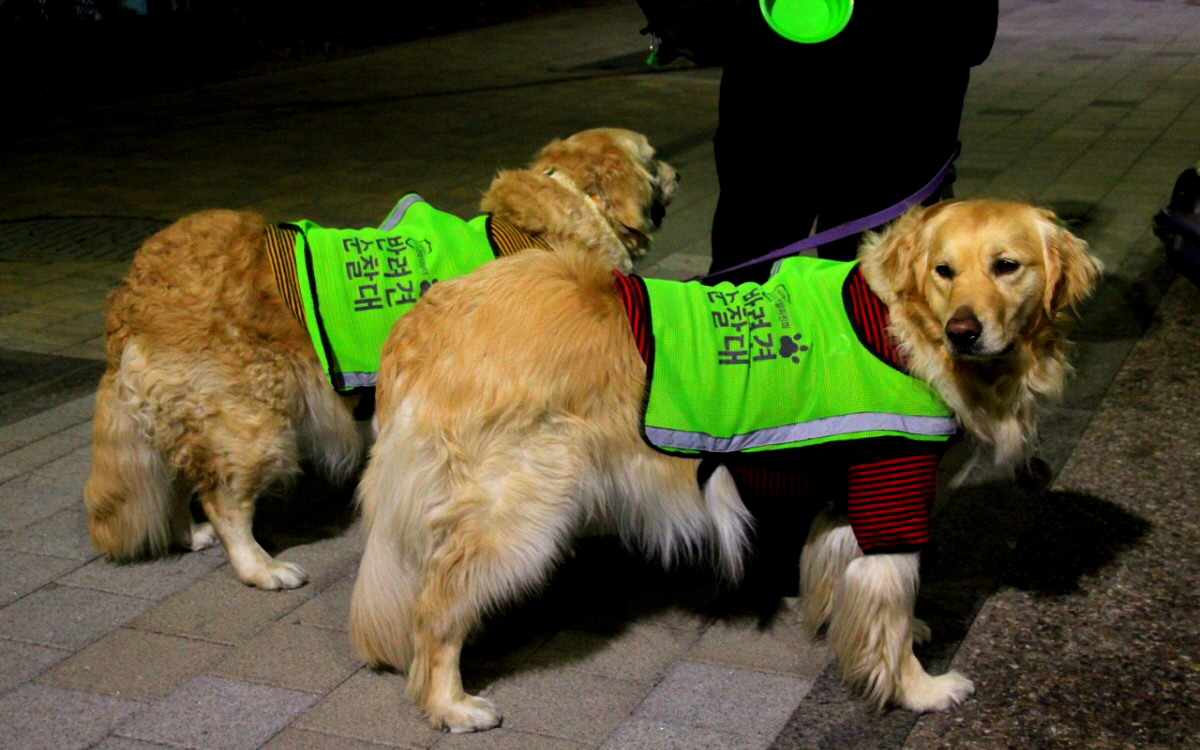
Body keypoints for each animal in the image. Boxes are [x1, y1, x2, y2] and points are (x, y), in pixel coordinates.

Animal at [84, 126, 681, 588]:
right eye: (653, 156)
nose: (678, 171)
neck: (563, 210)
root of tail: (133, 292)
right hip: (249, 422)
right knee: (223, 500)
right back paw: (260, 567)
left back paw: (187, 535)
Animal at [350, 195, 1104, 729]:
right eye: (945, 271)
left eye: (1007, 266)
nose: (965, 331)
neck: (897, 325)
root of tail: (422, 322)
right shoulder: (890, 486)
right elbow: (890, 609)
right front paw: (918, 686)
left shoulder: (848, 492)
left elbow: (853, 582)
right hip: (518, 511)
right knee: (435, 607)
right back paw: (448, 703)